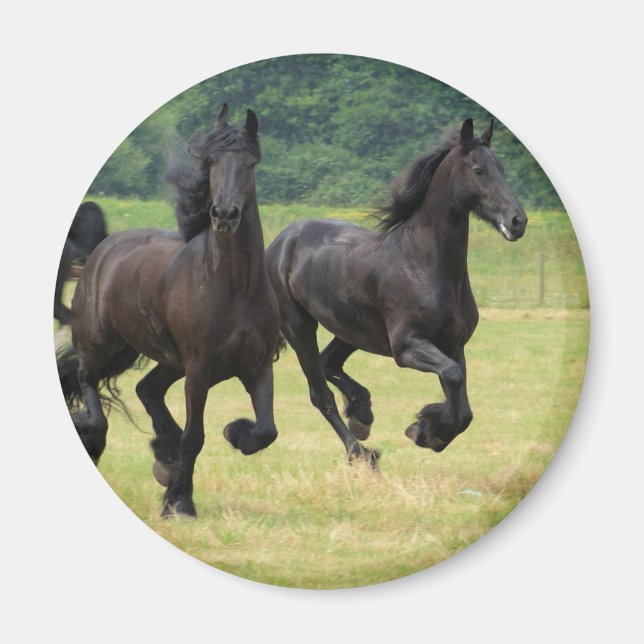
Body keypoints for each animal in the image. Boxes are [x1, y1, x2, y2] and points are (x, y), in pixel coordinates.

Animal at [57, 104, 281, 517]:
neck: (234, 287)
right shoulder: (199, 371)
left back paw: (164, 455)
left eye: (251, 163)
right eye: (212, 161)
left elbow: (266, 431)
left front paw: (235, 433)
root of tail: (103, 249)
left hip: (161, 357)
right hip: (102, 344)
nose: (224, 215)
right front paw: (181, 503)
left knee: (146, 388)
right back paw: (95, 435)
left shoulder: (257, 367)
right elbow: (195, 437)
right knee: (85, 379)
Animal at [266, 119, 527, 466]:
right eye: (478, 170)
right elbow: (454, 378)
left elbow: (462, 406)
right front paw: (425, 429)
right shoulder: (407, 347)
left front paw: (428, 430)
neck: (423, 264)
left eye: (502, 168)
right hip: (300, 328)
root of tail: (281, 242)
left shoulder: (453, 345)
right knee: (320, 393)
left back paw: (362, 414)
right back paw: (361, 453)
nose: (518, 221)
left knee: (328, 363)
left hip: (351, 329)